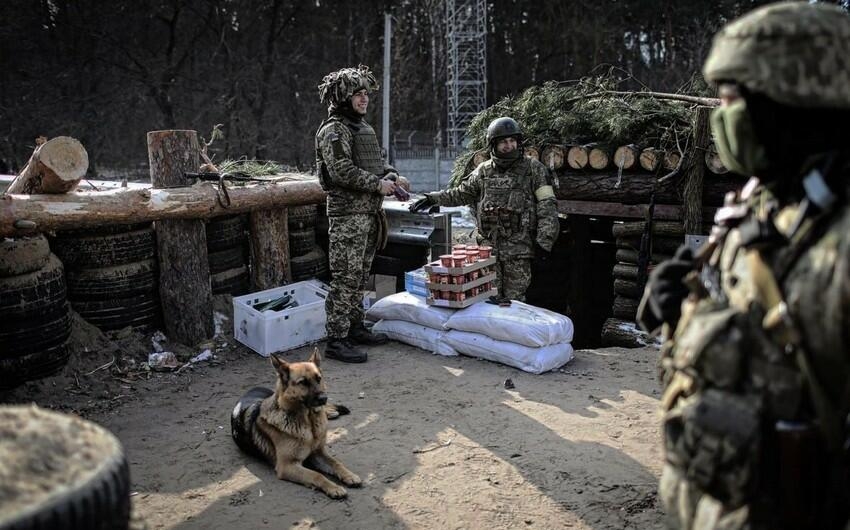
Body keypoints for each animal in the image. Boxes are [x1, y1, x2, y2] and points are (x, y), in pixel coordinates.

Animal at [229, 346, 362, 496]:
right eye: (303, 382)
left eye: (319, 379)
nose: (324, 398)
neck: (309, 422)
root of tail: (252, 389)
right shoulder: (287, 466)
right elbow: (317, 475)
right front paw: (334, 487)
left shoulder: (318, 453)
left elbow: (336, 463)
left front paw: (349, 475)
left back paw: (332, 412)